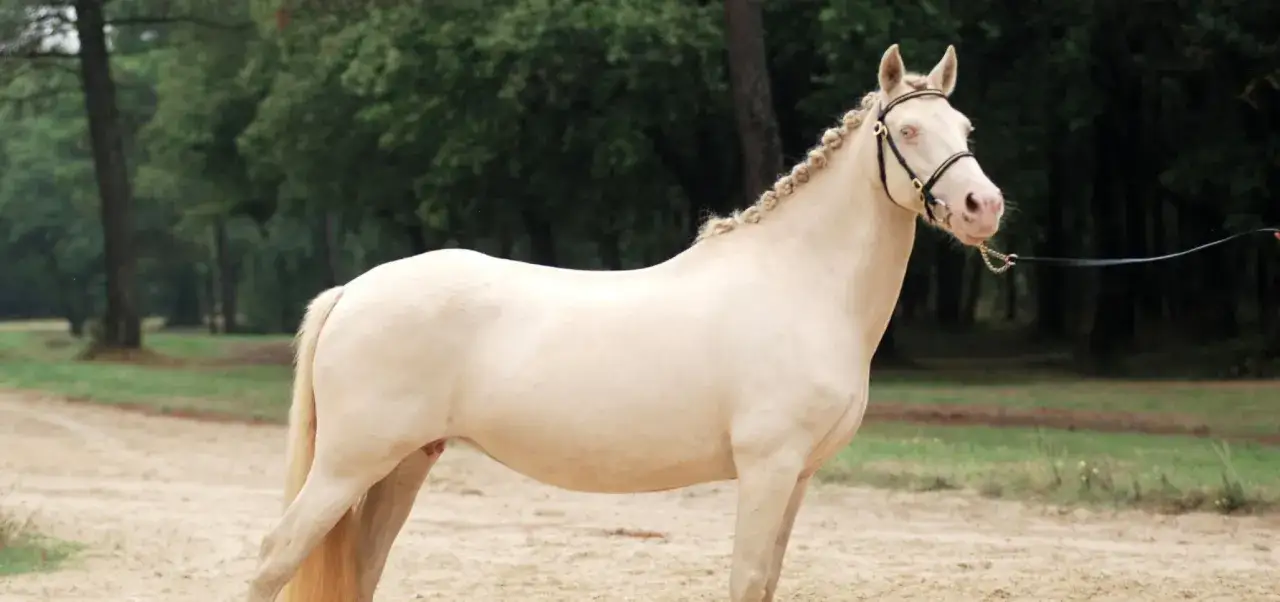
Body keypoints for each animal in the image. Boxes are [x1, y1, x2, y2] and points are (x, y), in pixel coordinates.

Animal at [244, 42, 1004, 602]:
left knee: (359, 569)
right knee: (275, 556)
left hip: (400, 465)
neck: (799, 285)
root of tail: (354, 289)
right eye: (907, 130)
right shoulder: (768, 468)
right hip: (348, 465)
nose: (983, 206)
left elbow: (766, 583)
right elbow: (746, 581)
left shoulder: (798, 475)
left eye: (967, 129)